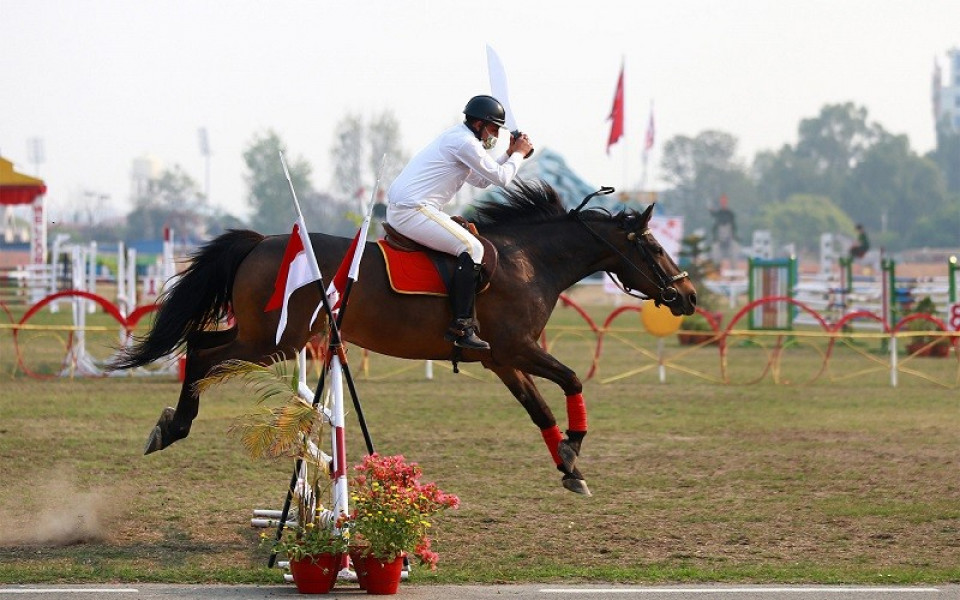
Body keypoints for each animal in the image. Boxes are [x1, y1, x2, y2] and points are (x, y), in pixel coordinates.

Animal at [114, 180, 696, 494]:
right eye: (654, 247)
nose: (688, 297)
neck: (528, 260)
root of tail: (262, 242)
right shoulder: (517, 349)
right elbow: (573, 380)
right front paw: (575, 448)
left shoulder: (504, 360)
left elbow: (541, 410)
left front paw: (568, 465)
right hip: (273, 341)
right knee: (201, 351)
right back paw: (173, 426)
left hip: (266, 336)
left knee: (202, 349)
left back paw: (172, 425)